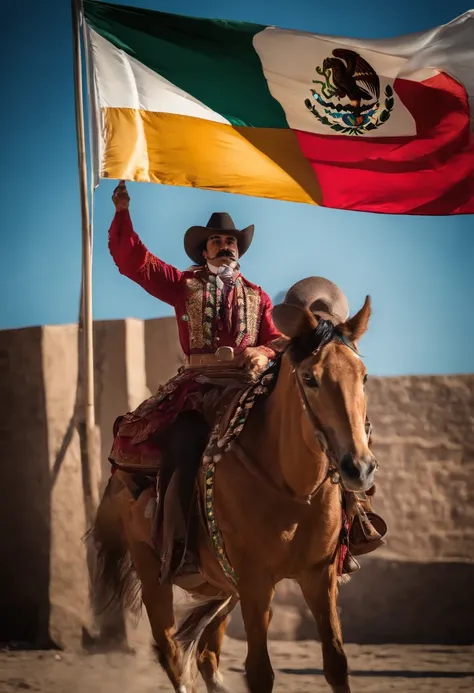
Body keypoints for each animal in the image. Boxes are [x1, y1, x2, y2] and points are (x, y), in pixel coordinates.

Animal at [87, 294, 378, 692]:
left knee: (206, 654)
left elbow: (336, 663)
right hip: (154, 573)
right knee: (172, 653)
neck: (292, 490)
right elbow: (259, 672)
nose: (358, 468)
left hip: (223, 587)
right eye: (310, 378)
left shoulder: (320, 576)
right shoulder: (255, 580)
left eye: (362, 376)